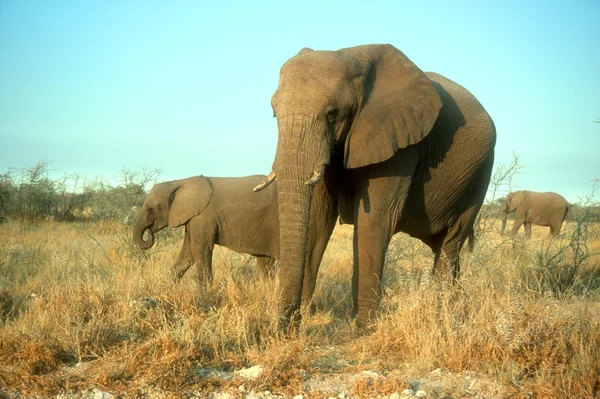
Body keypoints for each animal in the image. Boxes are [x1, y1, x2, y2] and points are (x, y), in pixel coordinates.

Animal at [133, 175, 338, 300]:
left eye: (150, 209)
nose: (150, 233)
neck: (180, 182)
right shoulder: (193, 219)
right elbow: (187, 255)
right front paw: (166, 288)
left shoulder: (204, 217)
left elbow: (201, 250)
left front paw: (205, 294)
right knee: (265, 263)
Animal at [254, 43, 496, 326]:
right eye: (274, 113)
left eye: (332, 114)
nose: (287, 324)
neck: (351, 56)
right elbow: (317, 220)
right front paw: (306, 316)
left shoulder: (399, 142)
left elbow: (374, 220)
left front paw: (362, 326)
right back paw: (455, 306)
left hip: (480, 174)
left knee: (451, 241)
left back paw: (441, 310)